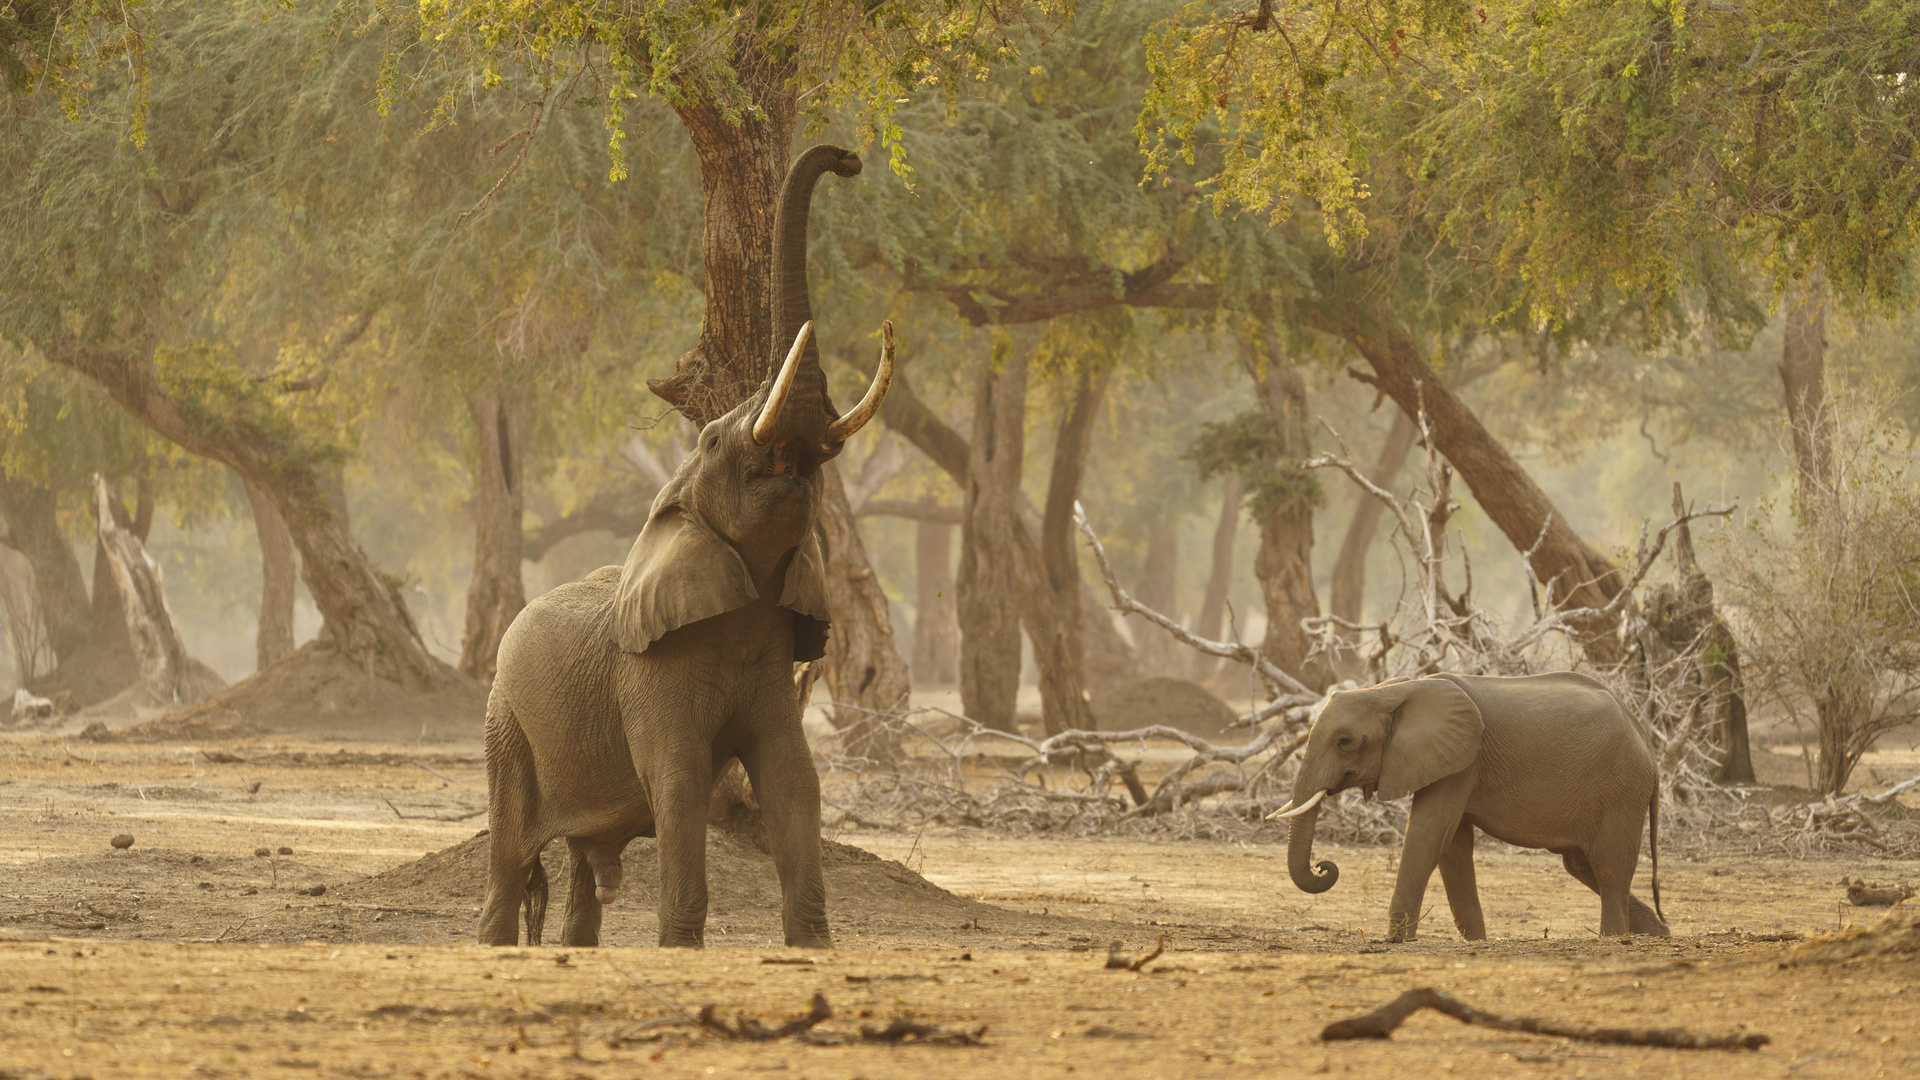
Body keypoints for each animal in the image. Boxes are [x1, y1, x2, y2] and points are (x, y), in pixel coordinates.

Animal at [483, 143, 894, 941]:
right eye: (710, 439)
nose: (850, 159)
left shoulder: (771, 658)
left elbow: (794, 780)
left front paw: (813, 948)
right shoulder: (650, 673)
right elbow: (678, 784)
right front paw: (681, 948)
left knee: (583, 868)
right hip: (504, 726)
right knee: (510, 863)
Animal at [1274, 668, 1666, 937]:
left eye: (1344, 742)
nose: (1324, 866)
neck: (1394, 690)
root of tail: (1648, 746)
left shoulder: (1461, 762)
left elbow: (1428, 835)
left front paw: (1395, 940)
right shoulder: (1452, 762)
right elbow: (1452, 847)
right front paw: (1478, 941)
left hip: (1620, 790)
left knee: (1608, 868)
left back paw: (1612, 938)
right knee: (1581, 865)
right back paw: (1658, 932)